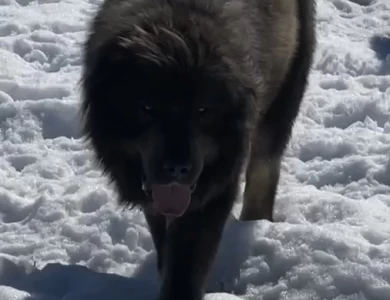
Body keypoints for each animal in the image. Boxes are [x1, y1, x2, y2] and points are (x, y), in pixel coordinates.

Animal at [80, 0, 316, 298]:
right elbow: (165, 247)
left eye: (203, 111)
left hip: (283, 100)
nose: (178, 167)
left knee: (264, 174)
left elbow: (185, 268)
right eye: (148, 108)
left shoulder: (212, 191)